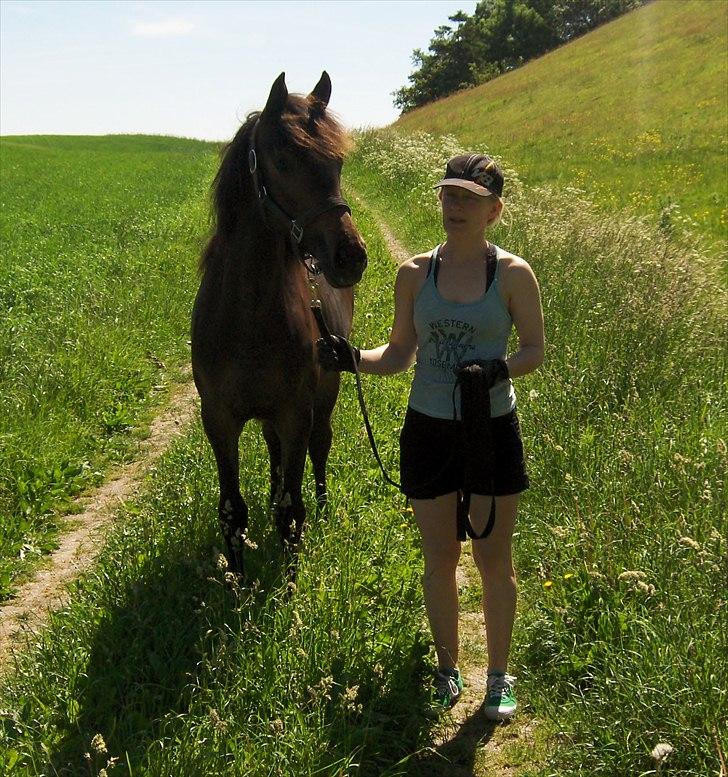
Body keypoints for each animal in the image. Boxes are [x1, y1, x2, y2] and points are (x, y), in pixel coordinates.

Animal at [191, 73, 366, 576]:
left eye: (338, 162)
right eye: (285, 161)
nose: (350, 257)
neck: (246, 318)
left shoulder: (296, 412)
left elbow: (292, 511)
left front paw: (288, 588)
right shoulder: (219, 419)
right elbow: (232, 510)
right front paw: (238, 584)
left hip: (326, 393)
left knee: (320, 447)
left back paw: (324, 509)